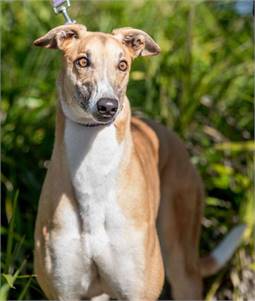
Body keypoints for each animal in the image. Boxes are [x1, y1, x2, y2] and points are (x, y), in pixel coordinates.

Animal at [33, 24, 245, 300]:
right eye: (82, 61)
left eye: (122, 64)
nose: (108, 106)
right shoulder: (65, 292)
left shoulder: (139, 291)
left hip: (181, 259)